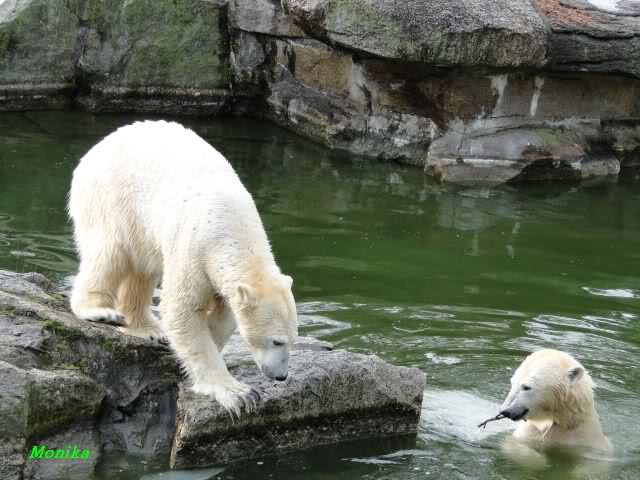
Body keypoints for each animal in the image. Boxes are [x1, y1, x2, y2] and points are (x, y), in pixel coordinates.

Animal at [68, 120, 298, 415]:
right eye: (277, 341)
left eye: (293, 338)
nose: (281, 376)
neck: (233, 228)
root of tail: (98, 146)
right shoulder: (195, 247)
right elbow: (182, 309)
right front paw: (238, 394)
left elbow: (222, 314)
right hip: (112, 199)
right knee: (110, 253)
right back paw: (99, 311)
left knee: (143, 269)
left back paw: (148, 329)